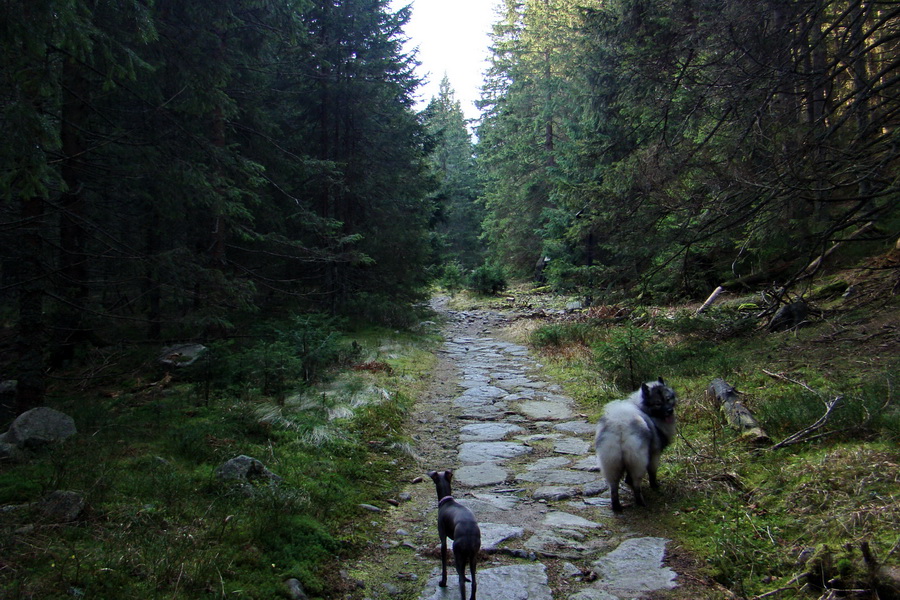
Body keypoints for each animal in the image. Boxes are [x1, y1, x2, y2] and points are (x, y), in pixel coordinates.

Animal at [592, 380, 676, 510]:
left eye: (668, 399)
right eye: (658, 403)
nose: (670, 411)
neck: (644, 408)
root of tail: (620, 425)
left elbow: (628, 478)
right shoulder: (654, 455)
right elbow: (652, 473)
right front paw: (655, 486)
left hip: (611, 463)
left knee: (614, 487)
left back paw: (617, 506)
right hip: (638, 462)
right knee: (636, 484)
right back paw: (641, 502)